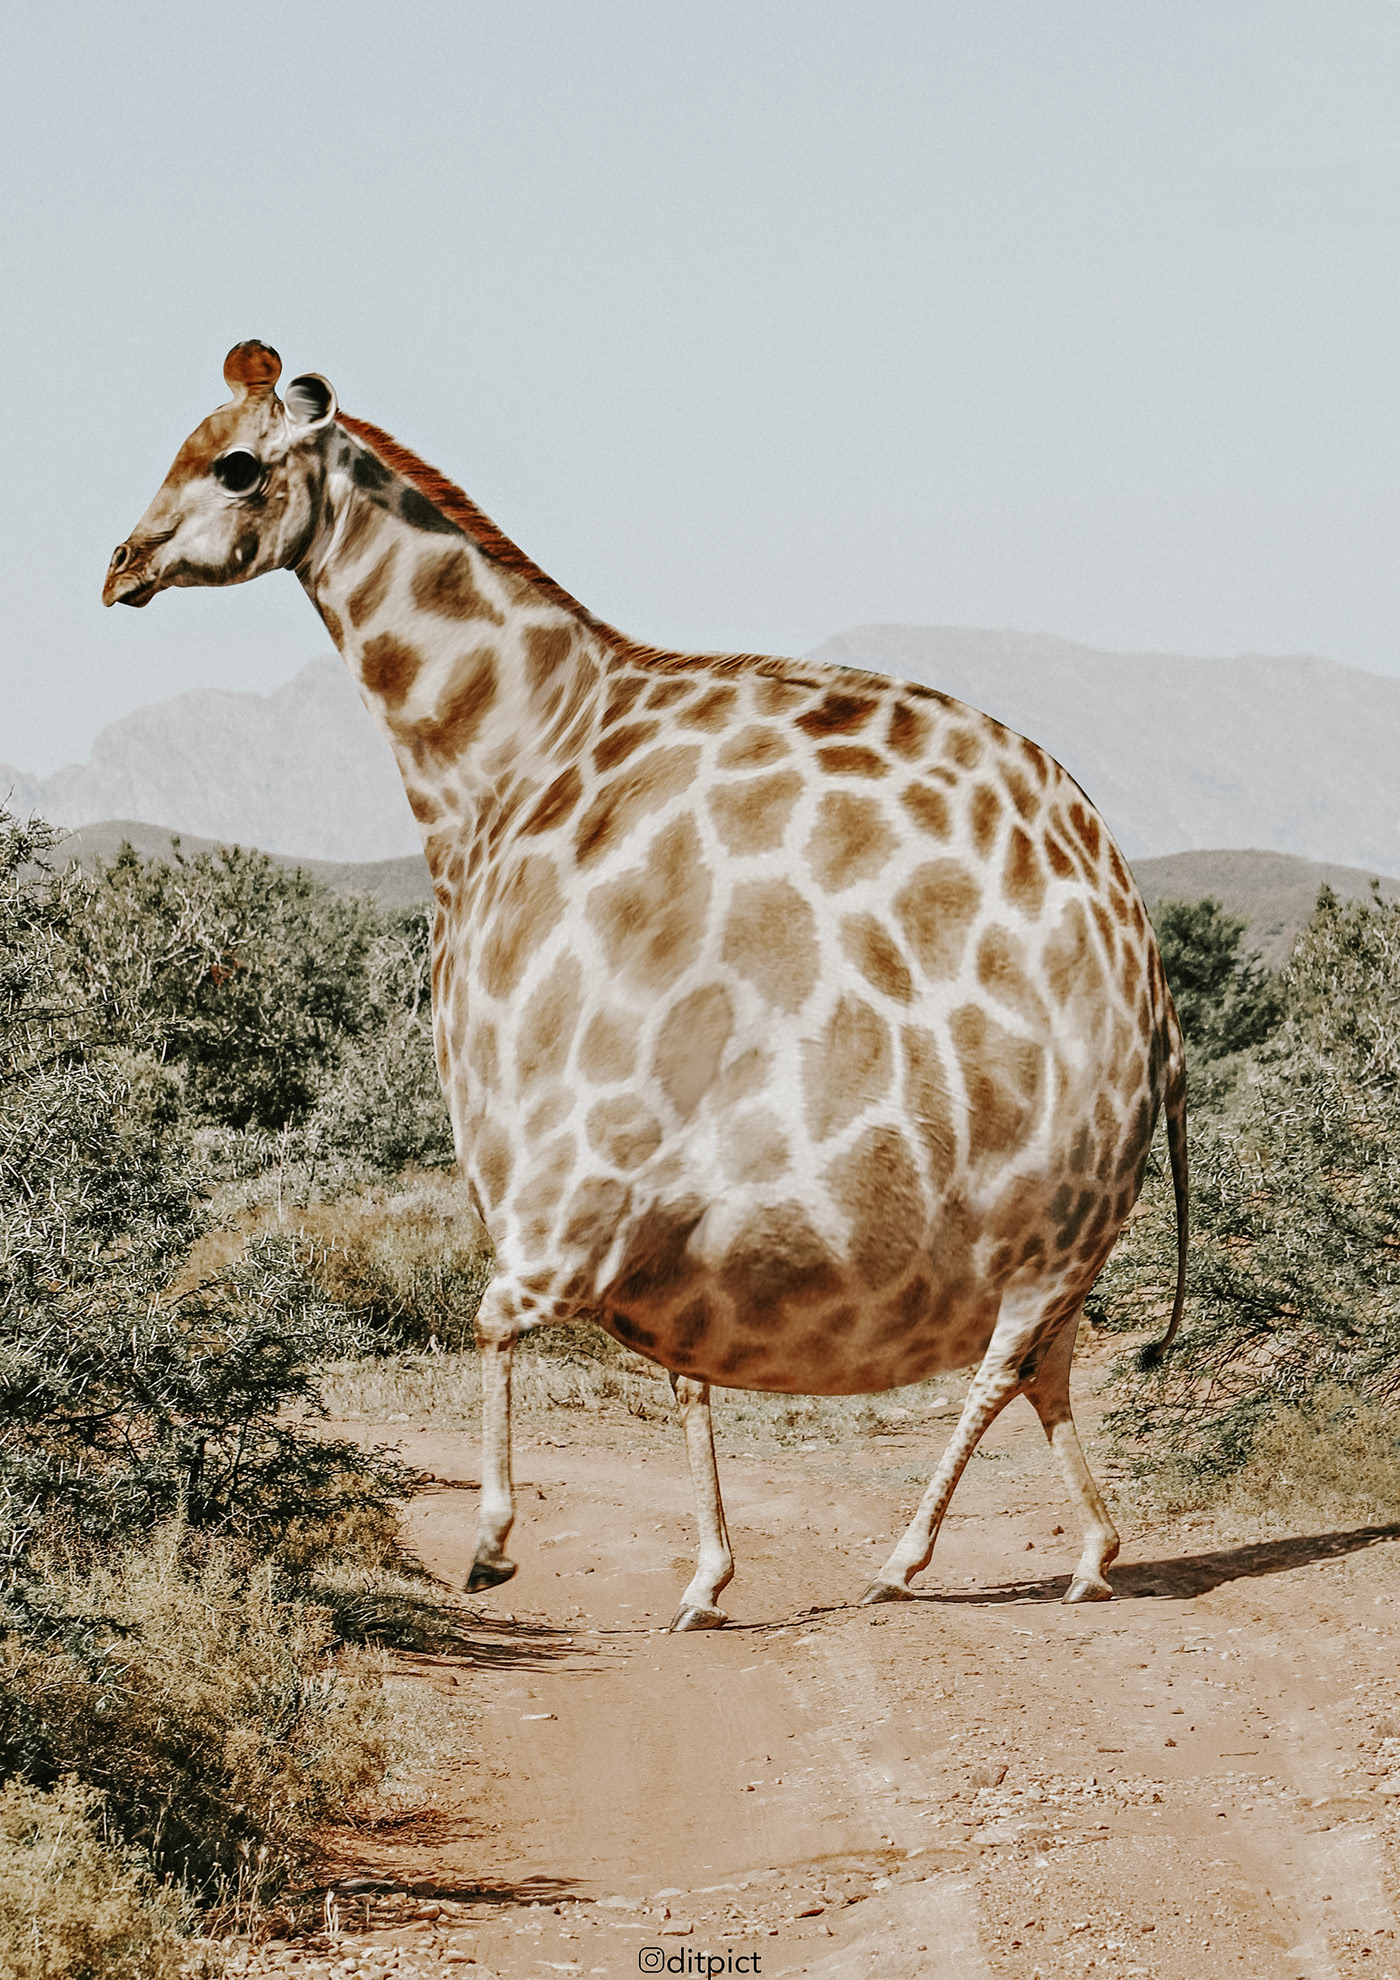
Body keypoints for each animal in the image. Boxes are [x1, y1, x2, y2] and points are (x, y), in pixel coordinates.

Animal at [103, 341, 1188, 1630]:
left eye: (235, 463)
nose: (119, 568)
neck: (493, 777)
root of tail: (1159, 1002)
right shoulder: (654, 1216)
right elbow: (681, 1380)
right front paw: (703, 1579)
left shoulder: (583, 1163)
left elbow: (498, 1319)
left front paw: (492, 1546)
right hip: (1058, 1245)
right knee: (1043, 1375)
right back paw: (1090, 1555)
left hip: (1045, 1228)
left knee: (1000, 1369)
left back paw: (903, 1560)